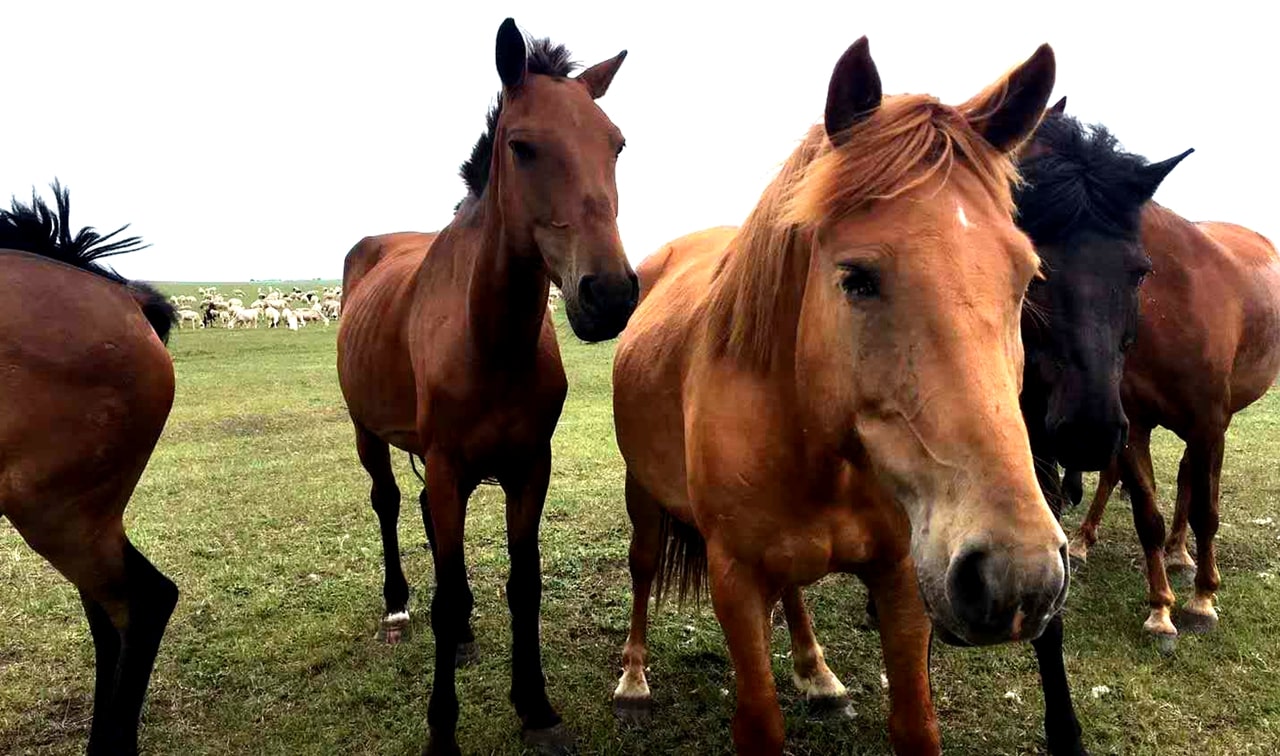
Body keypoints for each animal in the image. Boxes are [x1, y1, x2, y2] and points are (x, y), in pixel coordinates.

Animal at [337, 17, 637, 756]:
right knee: (390, 503)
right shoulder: (448, 465)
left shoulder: (530, 467)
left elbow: (523, 584)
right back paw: (397, 606)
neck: (488, 342)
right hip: (370, 435)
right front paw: (442, 730)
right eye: (522, 147)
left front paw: (535, 705)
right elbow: (444, 594)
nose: (611, 294)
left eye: (615, 144)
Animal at [609, 36, 1070, 756]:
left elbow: (915, 723)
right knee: (642, 566)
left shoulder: (904, 576)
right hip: (645, 497)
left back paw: (815, 670)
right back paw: (633, 677)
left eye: (1025, 277)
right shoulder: (734, 580)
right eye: (857, 278)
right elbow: (760, 722)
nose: (1018, 577)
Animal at [1059, 162, 1280, 642]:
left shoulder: (1208, 423)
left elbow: (1205, 510)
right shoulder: (1132, 425)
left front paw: (1202, 601)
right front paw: (1160, 610)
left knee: (1191, 480)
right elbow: (1147, 516)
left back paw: (1182, 553)